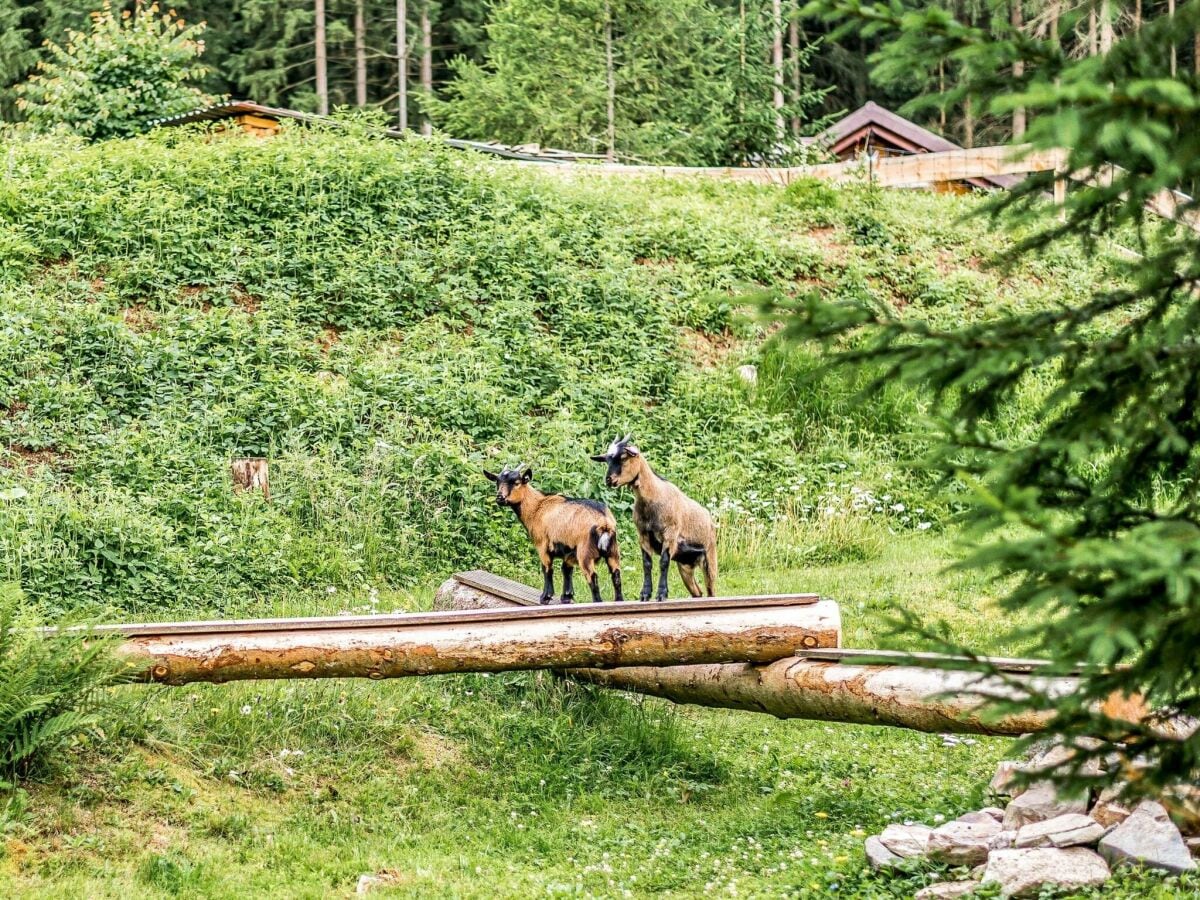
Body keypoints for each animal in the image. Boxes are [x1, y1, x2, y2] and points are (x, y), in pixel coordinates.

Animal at [482, 465, 624, 607]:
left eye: (517, 483)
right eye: (497, 482)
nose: (500, 497)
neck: (537, 507)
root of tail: (604, 523)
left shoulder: (542, 545)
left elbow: (547, 569)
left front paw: (545, 597)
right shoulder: (569, 551)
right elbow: (566, 570)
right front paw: (566, 597)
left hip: (585, 553)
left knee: (593, 578)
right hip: (613, 551)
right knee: (616, 575)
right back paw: (619, 601)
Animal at [588, 439, 715, 607]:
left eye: (623, 457)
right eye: (607, 460)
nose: (609, 480)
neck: (655, 496)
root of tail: (709, 518)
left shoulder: (670, 534)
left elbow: (663, 562)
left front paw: (661, 594)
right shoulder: (643, 535)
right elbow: (647, 563)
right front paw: (645, 594)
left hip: (710, 559)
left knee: (711, 590)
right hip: (685, 566)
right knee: (698, 592)